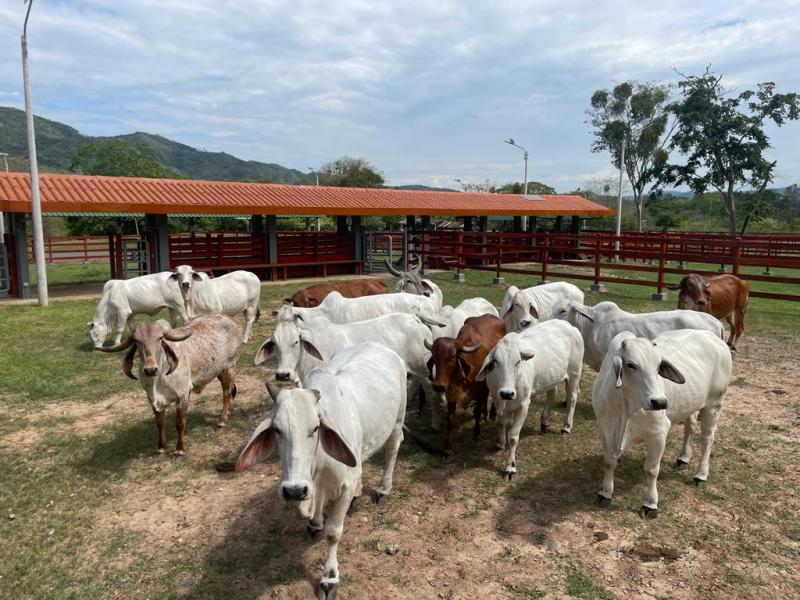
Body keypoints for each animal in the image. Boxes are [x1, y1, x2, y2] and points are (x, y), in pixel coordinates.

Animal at [233, 342, 406, 600]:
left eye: (315, 428)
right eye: (277, 430)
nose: (294, 490)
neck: (317, 466)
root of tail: (378, 345)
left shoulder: (343, 487)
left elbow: (333, 532)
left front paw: (329, 578)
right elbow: (316, 515)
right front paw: (314, 523)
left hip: (397, 419)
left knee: (393, 448)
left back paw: (384, 489)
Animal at [424, 314, 506, 454]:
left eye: (452, 357)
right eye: (434, 356)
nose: (438, 386)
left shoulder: (480, 389)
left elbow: (476, 411)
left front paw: (476, 434)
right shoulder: (451, 393)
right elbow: (450, 420)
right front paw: (448, 448)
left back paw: (490, 414)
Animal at [476, 322, 580, 480]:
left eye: (518, 361)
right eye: (496, 361)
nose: (507, 393)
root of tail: (568, 324)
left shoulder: (524, 405)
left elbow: (513, 437)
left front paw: (510, 468)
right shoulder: (497, 399)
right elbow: (500, 423)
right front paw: (500, 444)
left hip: (574, 374)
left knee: (572, 398)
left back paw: (566, 428)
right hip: (551, 378)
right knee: (552, 394)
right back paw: (544, 423)